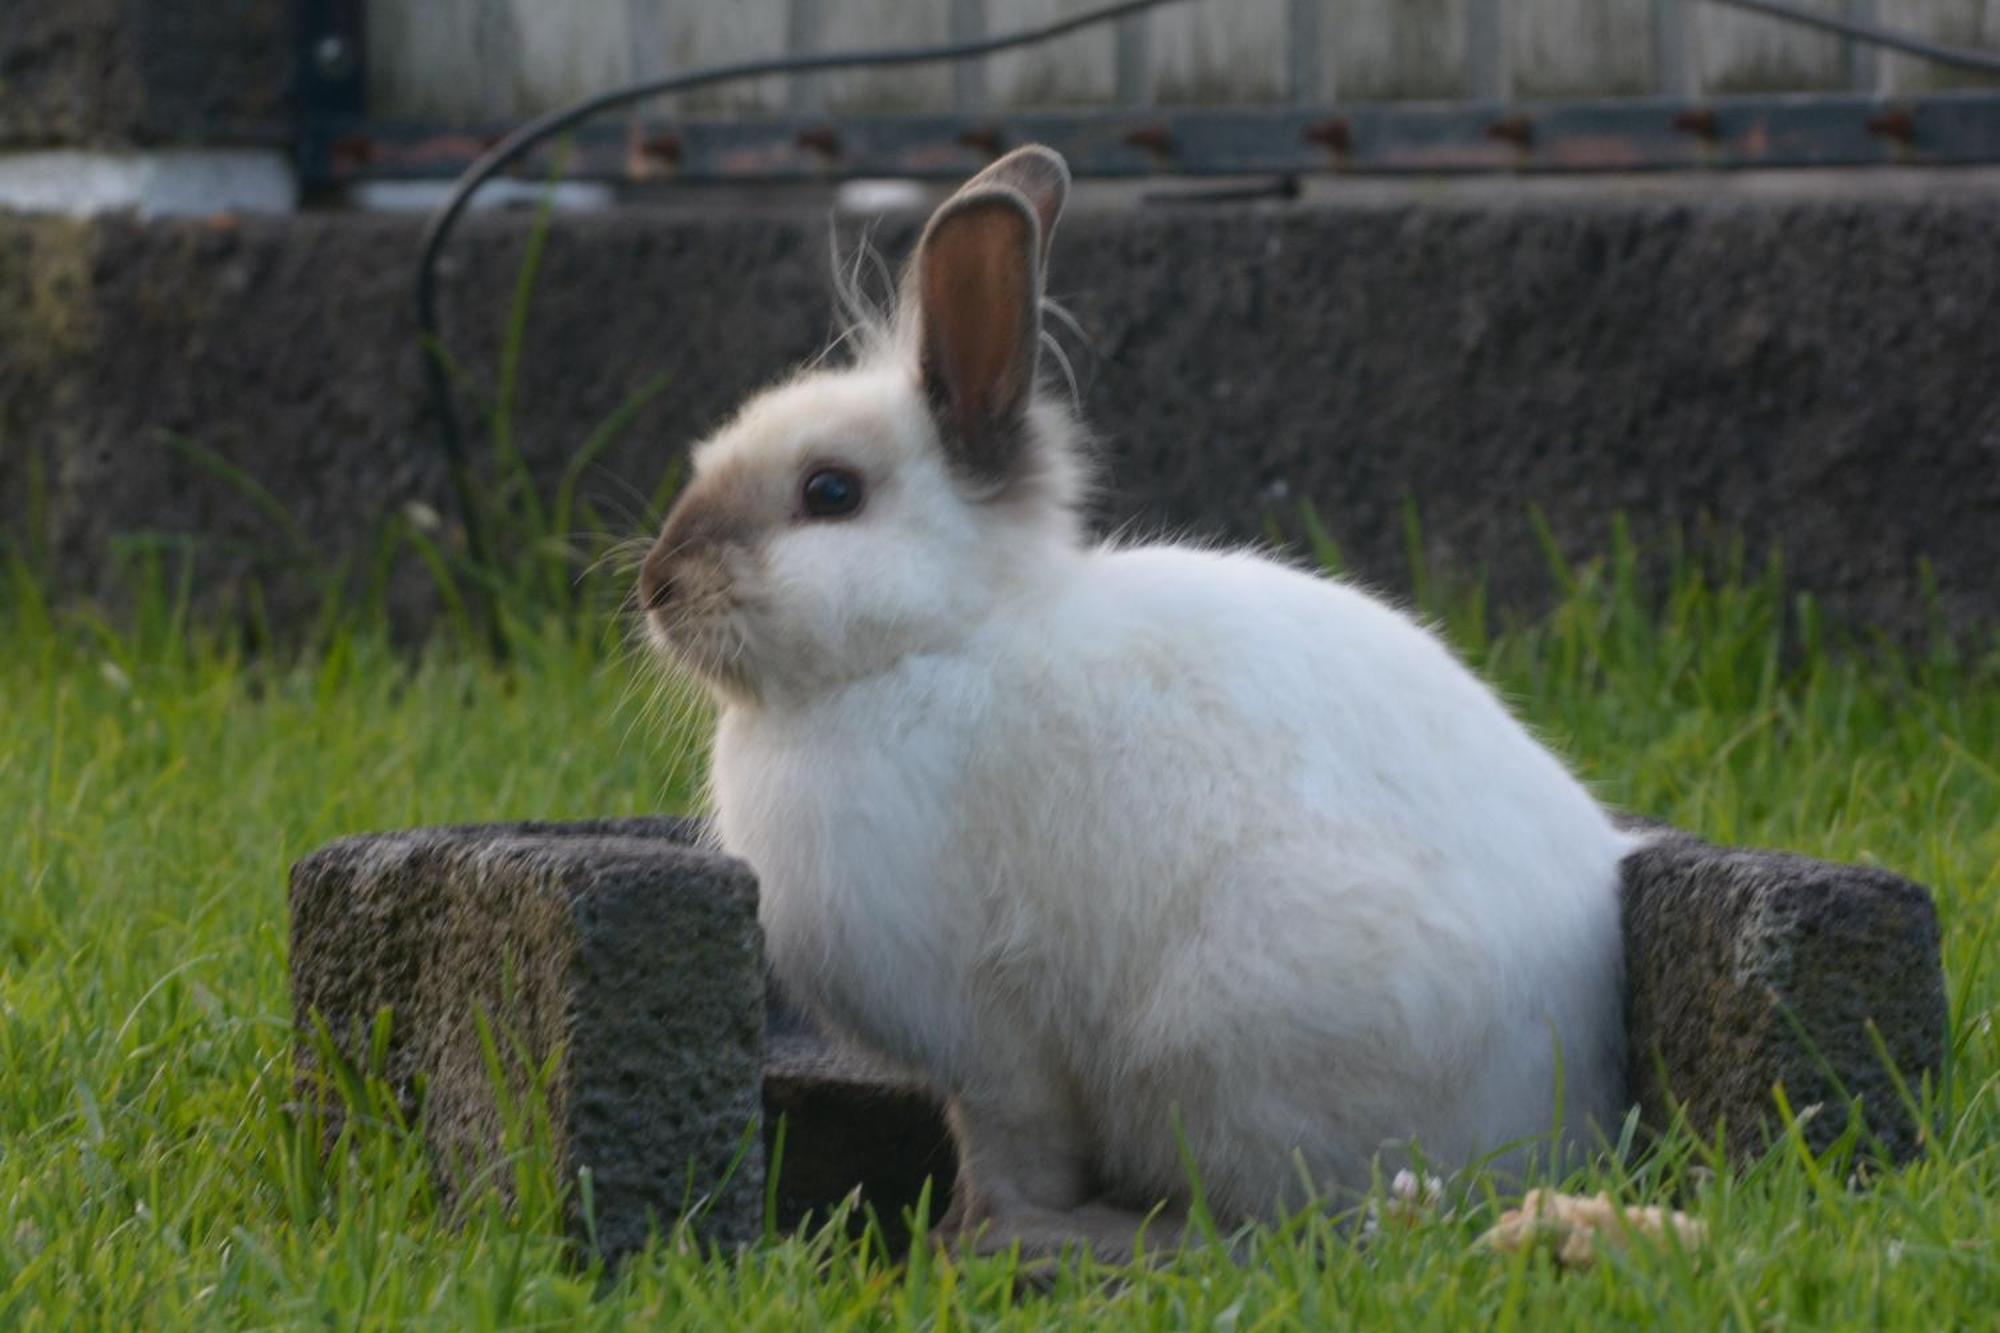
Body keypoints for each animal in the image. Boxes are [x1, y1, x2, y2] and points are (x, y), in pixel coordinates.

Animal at [648, 145, 1632, 1256]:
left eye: (829, 492)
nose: (655, 584)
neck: (935, 642)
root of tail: (1568, 1120)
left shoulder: (989, 1037)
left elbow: (1011, 1148)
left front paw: (976, 1234)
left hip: (1229, 1045)